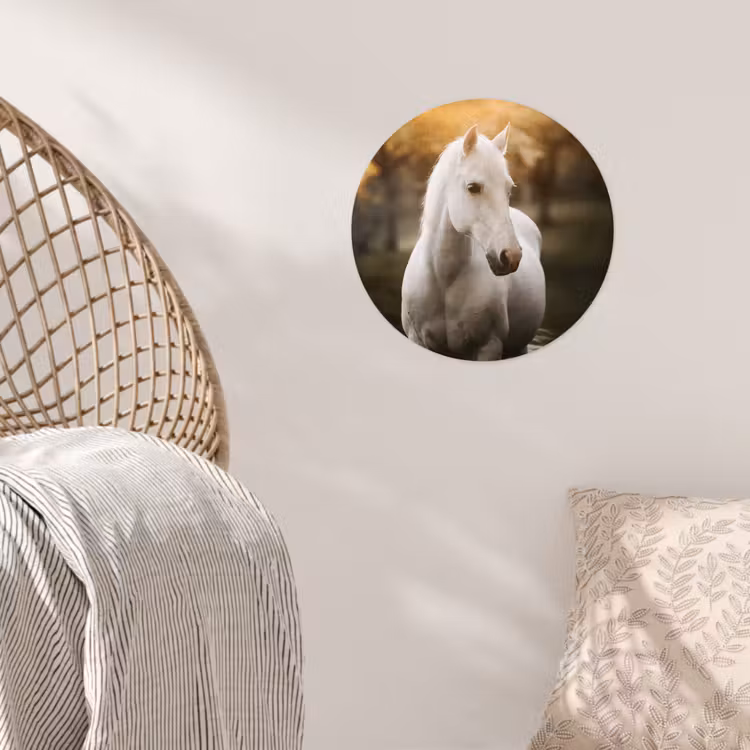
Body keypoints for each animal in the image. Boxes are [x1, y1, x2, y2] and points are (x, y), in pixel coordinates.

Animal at [401, 124, 546, 361]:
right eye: (473, 187)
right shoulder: (417, 339)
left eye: (509, 188)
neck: (444, 279)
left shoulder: (489, 347)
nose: (512, 256)